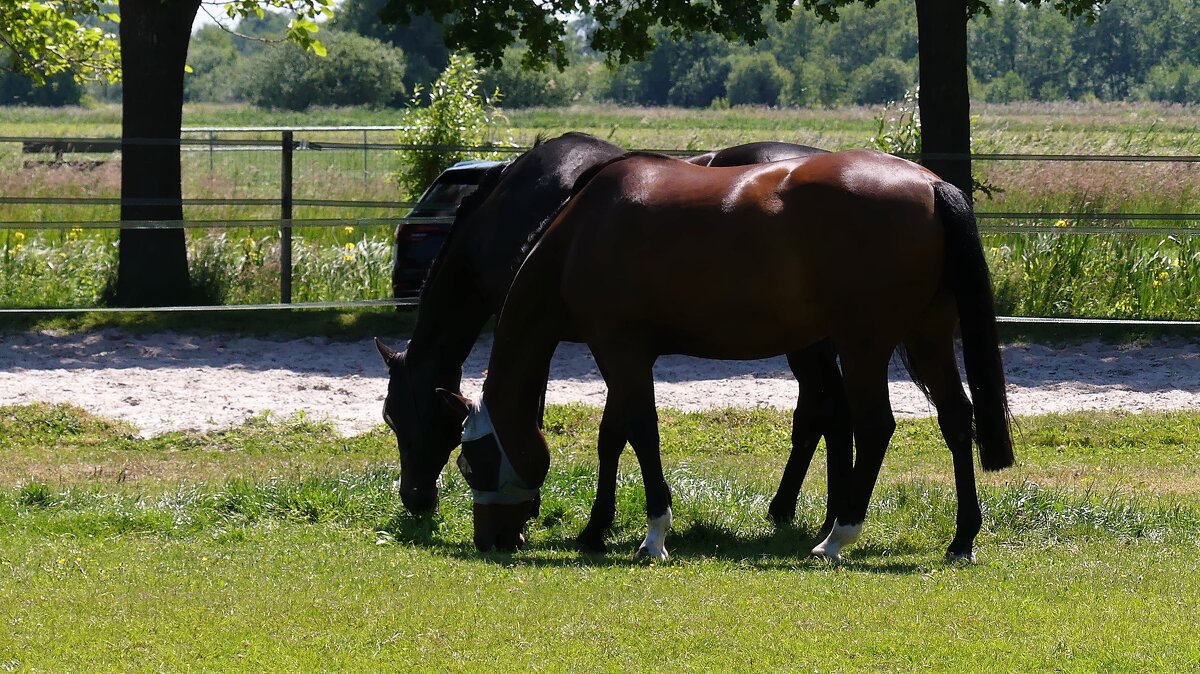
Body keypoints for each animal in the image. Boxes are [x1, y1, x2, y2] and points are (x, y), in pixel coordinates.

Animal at [446, 149, 1008, 558]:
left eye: (473, 463)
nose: (490, 540)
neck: (584, 231)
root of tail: (929, 183)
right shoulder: (628, 354)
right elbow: (615, 436)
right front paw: (594, 531)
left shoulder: (619, 349)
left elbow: (641, 432)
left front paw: (654, 536)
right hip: (927, 337)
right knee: (957, 419)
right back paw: (962, 539)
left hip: (863, 346)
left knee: (875, 428)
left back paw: (836, 538)